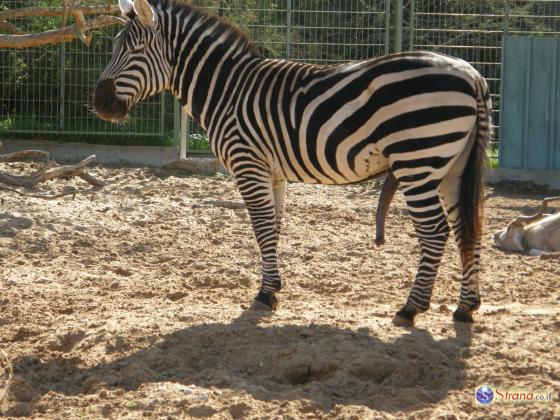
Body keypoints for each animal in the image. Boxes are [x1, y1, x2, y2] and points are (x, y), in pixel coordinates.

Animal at [95, 0, 490, 324]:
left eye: (135, 50)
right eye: (114, 48)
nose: (99, 104)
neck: (227, 90)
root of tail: (470, 73)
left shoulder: (247, 163)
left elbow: (261, 227)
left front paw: (265, 294)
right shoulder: (272, 172)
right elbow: (274, 226)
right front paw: (273, 286)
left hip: (416, 159)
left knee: (435, 230)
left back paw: (411, 308)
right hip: (452, 166)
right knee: (467, 228)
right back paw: (465, 307)